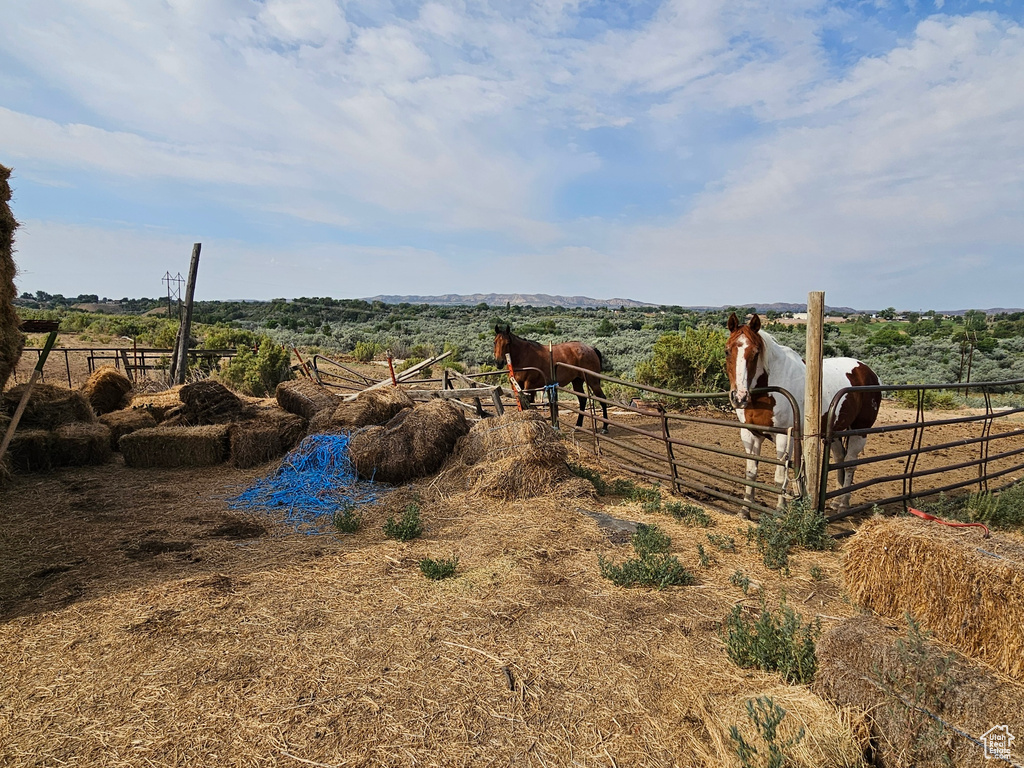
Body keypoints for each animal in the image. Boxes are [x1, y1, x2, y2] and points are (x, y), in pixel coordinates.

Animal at [729, 313, 880, 518]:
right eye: (727, 351)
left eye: (755, 353)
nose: (739, 397)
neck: (768, 388)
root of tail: (868, 372)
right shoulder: (750, 434)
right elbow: (751, 473)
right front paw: (745, 510)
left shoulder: (785, 437)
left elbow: (780, 477)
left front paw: (780, 511)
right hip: (834, 432)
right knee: (840, 459)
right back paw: (835, 502)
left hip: (859, 431)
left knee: (850, 464)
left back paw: (843, 505)